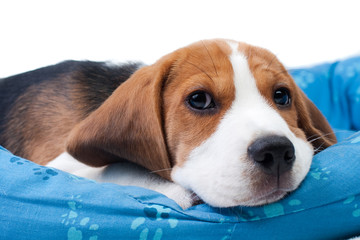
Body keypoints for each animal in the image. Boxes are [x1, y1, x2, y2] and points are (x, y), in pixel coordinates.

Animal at [0, 39, 338, 208]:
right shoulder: (59, 164)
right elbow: (109, 167)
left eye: (282, 95)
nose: (276, 151)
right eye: (199, 100)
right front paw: (169, 190)